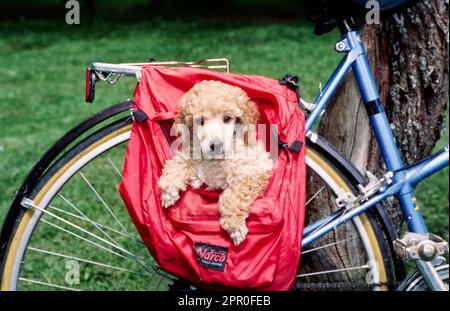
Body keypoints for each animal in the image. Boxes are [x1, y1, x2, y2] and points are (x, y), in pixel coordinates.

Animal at [156, 81, 272, 247]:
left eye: (227, 118)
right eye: (200, 121)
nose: (216, 145)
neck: (216, 160)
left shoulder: (256, 171)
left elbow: (232, 195)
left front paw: (234, 226)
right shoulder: (191, 152)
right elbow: (178, 162)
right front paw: (169, 190)